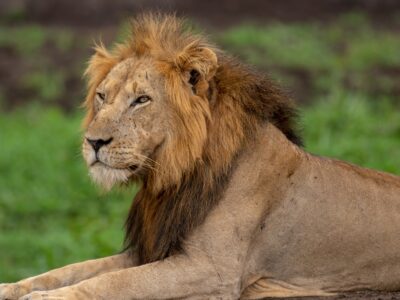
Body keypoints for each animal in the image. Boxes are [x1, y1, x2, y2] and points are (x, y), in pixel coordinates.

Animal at [0, 12, 400, 300]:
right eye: (102, 96)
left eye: (141, 99)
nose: (93, 142)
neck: (171, 177)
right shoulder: (152, 248)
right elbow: (72, 271)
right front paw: (12, 288)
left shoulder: (212, 270)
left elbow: (110, 284)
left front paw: (41, 299)